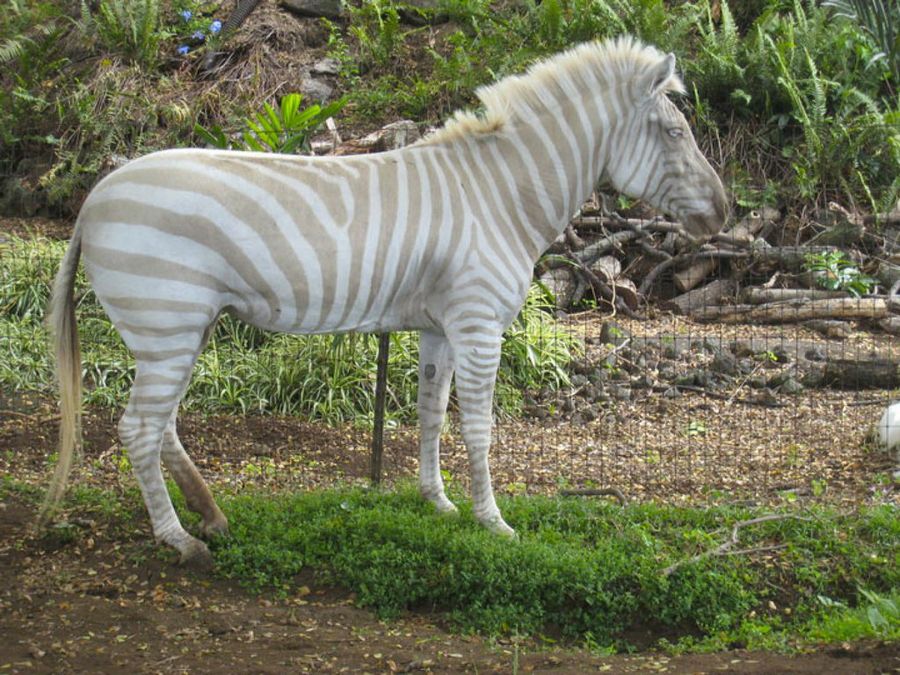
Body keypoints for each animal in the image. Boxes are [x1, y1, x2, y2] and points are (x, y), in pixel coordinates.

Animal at [43, 36, 727, 567]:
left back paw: (211, 517)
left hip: (178, 329)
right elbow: (479, 427)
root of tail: (96, 196)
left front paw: (439, 503)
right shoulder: (479, 324)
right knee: (139, 428)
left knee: (161, 427)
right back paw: (180, 540)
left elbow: (431, 414)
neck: (500, 194)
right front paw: (493, 522)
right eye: (675, 133)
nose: (724, 215)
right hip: (168, 323)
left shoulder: (439, 327)